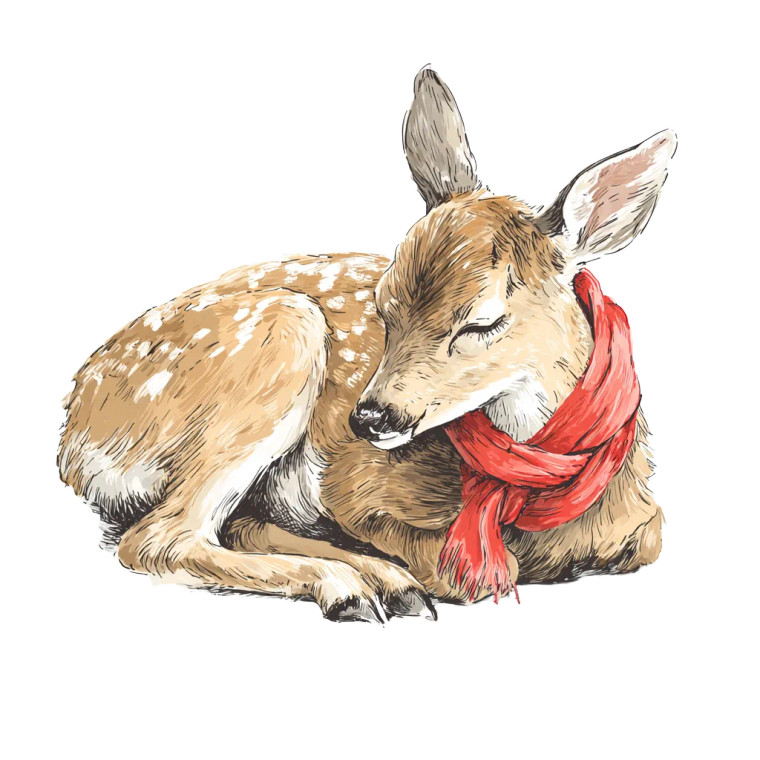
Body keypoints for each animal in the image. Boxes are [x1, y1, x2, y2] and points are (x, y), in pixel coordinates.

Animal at [58, 68, 675, 622]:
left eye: (482, 322)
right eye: (384, 305)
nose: (370, 416)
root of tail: (73, 433)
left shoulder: (646, 525)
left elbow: (648, 539)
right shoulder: (353, 488)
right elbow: (460, 571)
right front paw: (396, 573)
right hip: (282, 339)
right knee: (158, 538)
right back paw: (357, 588)